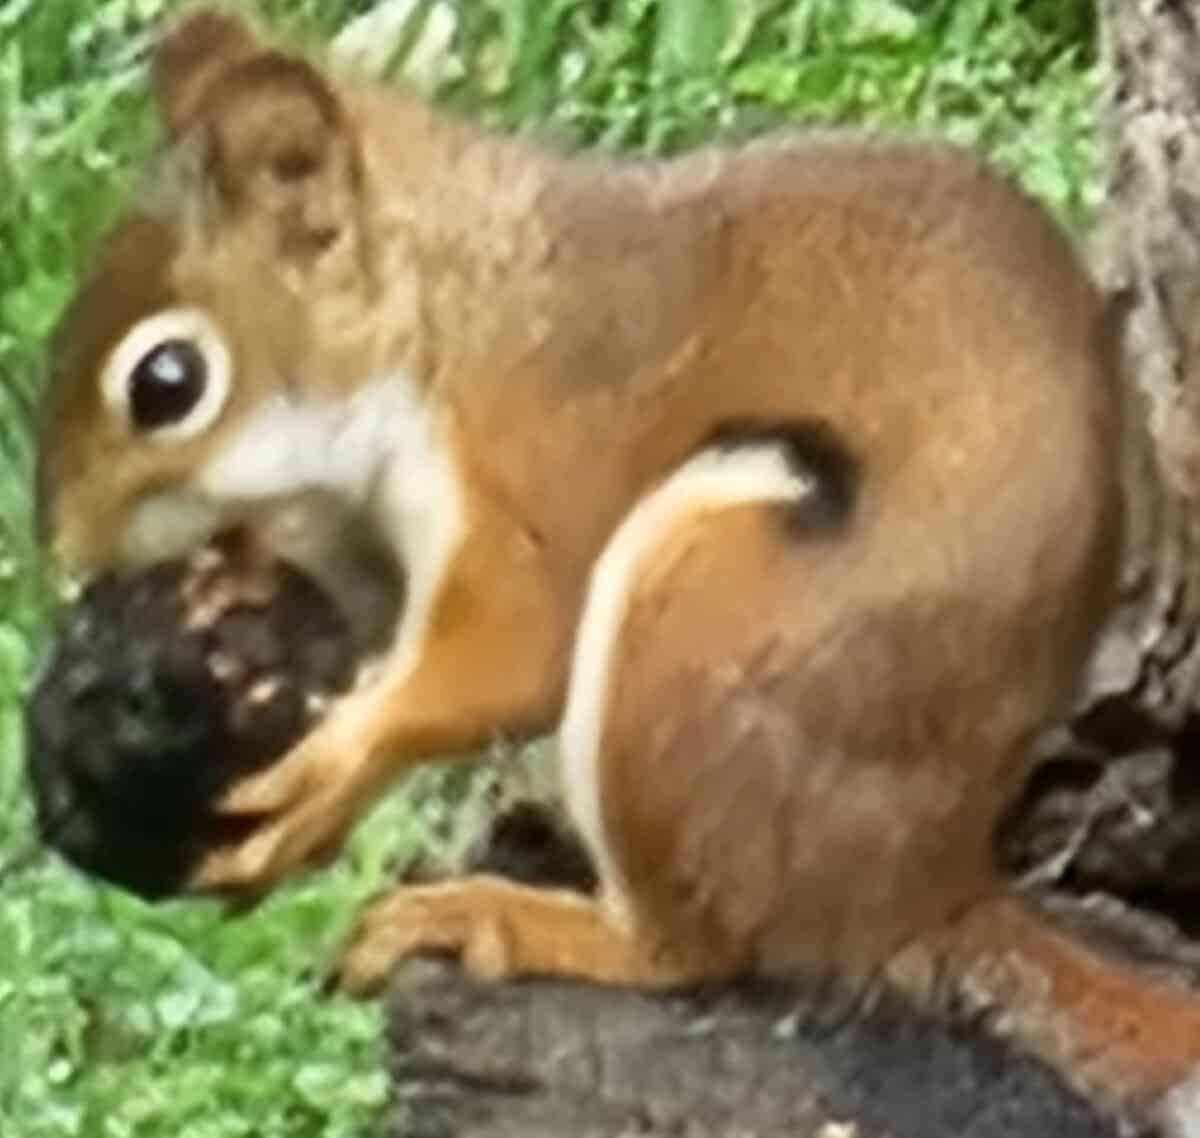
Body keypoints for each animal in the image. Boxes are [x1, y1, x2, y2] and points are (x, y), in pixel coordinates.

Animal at [32, 6, 1200, 1130]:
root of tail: (922, 881)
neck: (455, 313)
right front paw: (225, 600)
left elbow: (513, 654)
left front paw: (335, 764)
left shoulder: (543, 453)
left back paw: (511, 916)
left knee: (697, 950)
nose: (63, 554)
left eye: (167, 381)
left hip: (700, 630)